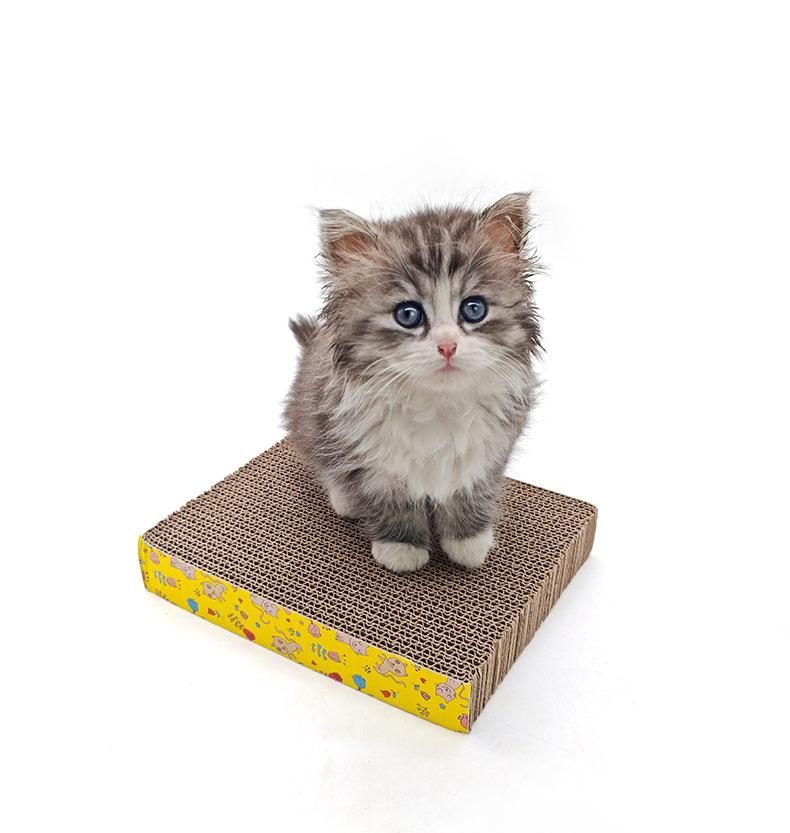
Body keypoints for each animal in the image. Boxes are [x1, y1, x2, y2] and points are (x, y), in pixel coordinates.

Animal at [284, 194, 540, 573]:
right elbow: (388, 500)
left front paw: (468, 541)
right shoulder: (369, 455)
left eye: (474, 309)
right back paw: (343, 498)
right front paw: (400, 547)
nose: (447, 346)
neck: (436, 403)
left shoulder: (492, 448)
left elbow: (473, 490)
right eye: (408, 315)